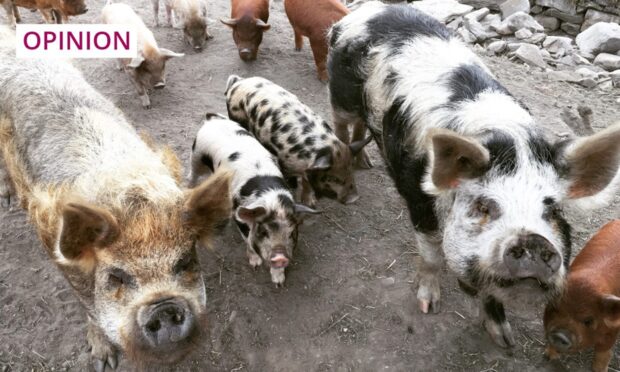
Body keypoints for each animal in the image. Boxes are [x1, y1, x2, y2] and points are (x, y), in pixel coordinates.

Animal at [189, 112, 318, 284]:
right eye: (264, 232)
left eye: (291, 232)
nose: (280, 258)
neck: (272, 198)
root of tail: (213, 119)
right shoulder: (238, 215)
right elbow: (248, 240)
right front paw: (255, 264)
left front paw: (279, 282)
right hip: (196, 156)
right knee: (192, 175)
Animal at [224, 74, 370, 208]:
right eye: (333, 177)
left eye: (351, 169)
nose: (354, 198)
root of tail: (238, 82)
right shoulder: (284, 160)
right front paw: (298, 193)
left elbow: (306, 182)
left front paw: (310, 202)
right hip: (236, 115)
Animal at [330, 1, 620, 348]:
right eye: (484, 206)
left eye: (552, 209)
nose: (534, 240)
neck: (507, 140)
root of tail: (370, 10)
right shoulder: (419, 198)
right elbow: (431, 255)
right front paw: (428, 307)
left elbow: (492, 292)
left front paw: (504, 341)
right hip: (340, 97)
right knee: (342, 125)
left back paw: (366, 163)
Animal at [544, 221, 620, 372]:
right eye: (554, 308)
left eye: (588, 320)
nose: (560, 335)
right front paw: (548, 357)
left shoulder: (613, 330)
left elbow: (603, 352)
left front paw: (598, 370)